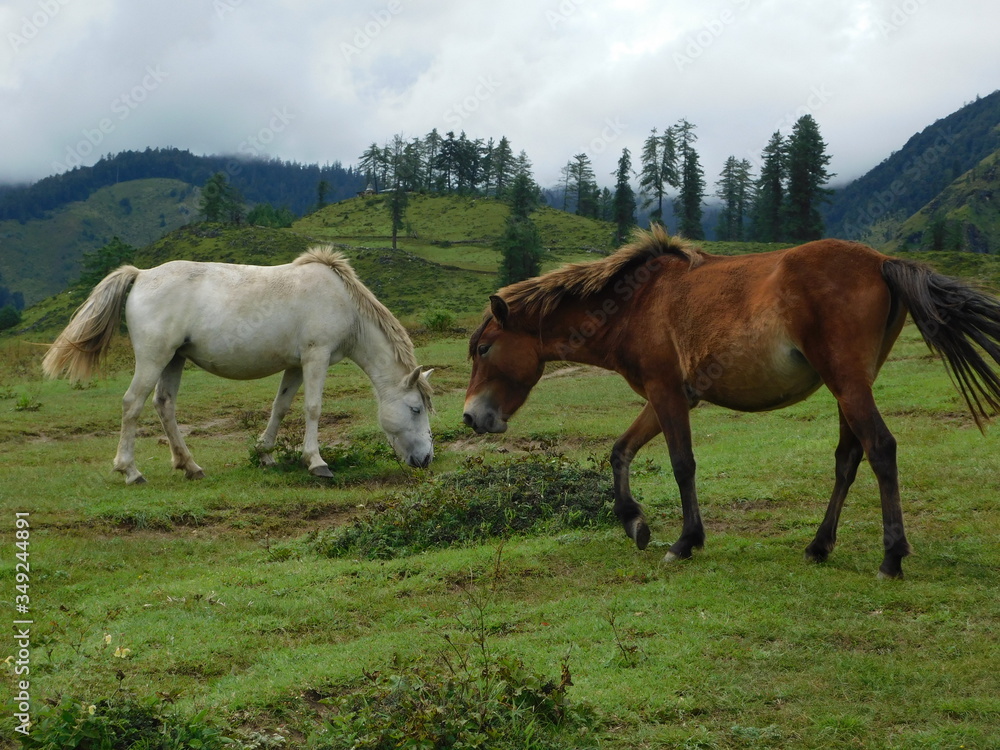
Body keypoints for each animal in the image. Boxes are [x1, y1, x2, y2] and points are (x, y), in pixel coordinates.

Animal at [43, 246, 434, 484]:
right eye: (415, 409)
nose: (427, 459)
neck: (343, 301)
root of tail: (141, 274)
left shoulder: (296, 365)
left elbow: (281, 406)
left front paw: (265, 455)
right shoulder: (316, 356)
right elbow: (313, 408)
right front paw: (317, 462)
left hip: (174, 359)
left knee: (163, 405)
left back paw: (190, 465)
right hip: (154, 358)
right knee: (132, 404)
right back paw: (130, 471)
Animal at [463, 226, 1000, 578]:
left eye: (484, 348)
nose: (471, 417)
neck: (633, 303)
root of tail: (880, 262)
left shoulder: (666, 393)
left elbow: (682, 464)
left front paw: (684, 541)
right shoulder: (669, 395)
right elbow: (621, 451)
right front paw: (634, 523)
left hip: (848, 383)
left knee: (881, 449)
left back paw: (891, 557)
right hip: (850, 386)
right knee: (849, 457)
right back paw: (819, 546)